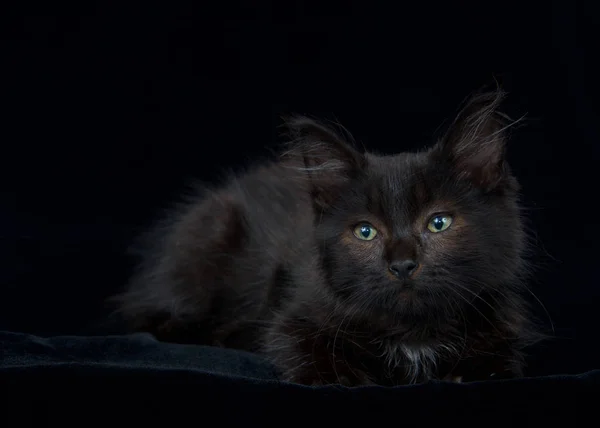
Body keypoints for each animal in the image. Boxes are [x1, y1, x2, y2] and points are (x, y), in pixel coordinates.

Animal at [112, 92, 544, 386]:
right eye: (365, 232)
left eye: (439, 222)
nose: (402, 264)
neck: (414, 332)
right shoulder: (290, 313)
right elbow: (301, 349)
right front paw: (346, 376)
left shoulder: (504, 327)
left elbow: (498, 362)